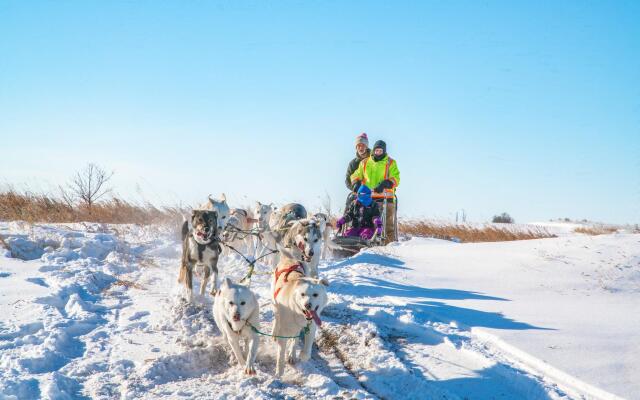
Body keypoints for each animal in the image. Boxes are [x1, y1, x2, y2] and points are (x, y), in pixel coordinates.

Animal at [272, 239, 328, 376]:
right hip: (275, 305)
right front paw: (279, 372)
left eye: (315, 294)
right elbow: (280, 354)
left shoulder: (311, 327)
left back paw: (292, 354)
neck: (297, 312)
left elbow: (305, 349)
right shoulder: (283, 332)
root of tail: (291, 259)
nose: (308, 305)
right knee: (276, 319)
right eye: (302, 294)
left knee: (295, 337)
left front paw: (301, 355)